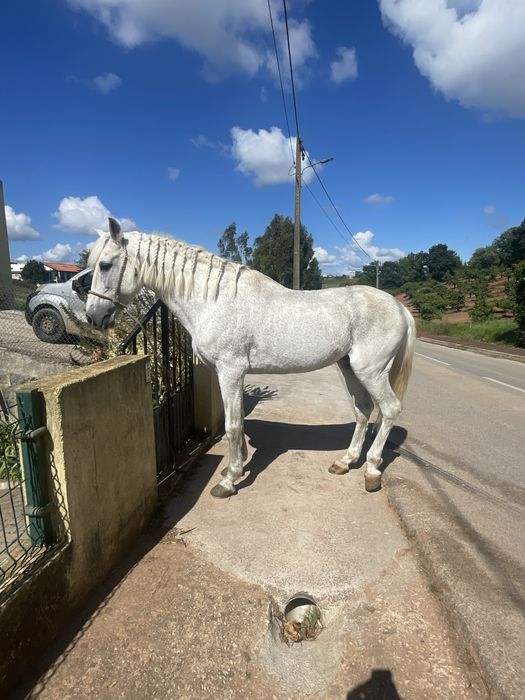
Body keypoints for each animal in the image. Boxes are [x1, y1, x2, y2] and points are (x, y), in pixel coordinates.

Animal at [86, 218, 415, 498]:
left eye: (105, 265)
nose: (92, 316)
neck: (214, 300)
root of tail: (400, 308)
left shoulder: (230, 371)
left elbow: (232, 425)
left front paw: (229, 480)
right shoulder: (233, 374)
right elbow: (239, 419)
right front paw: (239, 464)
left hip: (371, 370)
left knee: (390, 409)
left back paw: (371, 471)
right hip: (348, 367)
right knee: (363, 410)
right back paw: (345, 462)